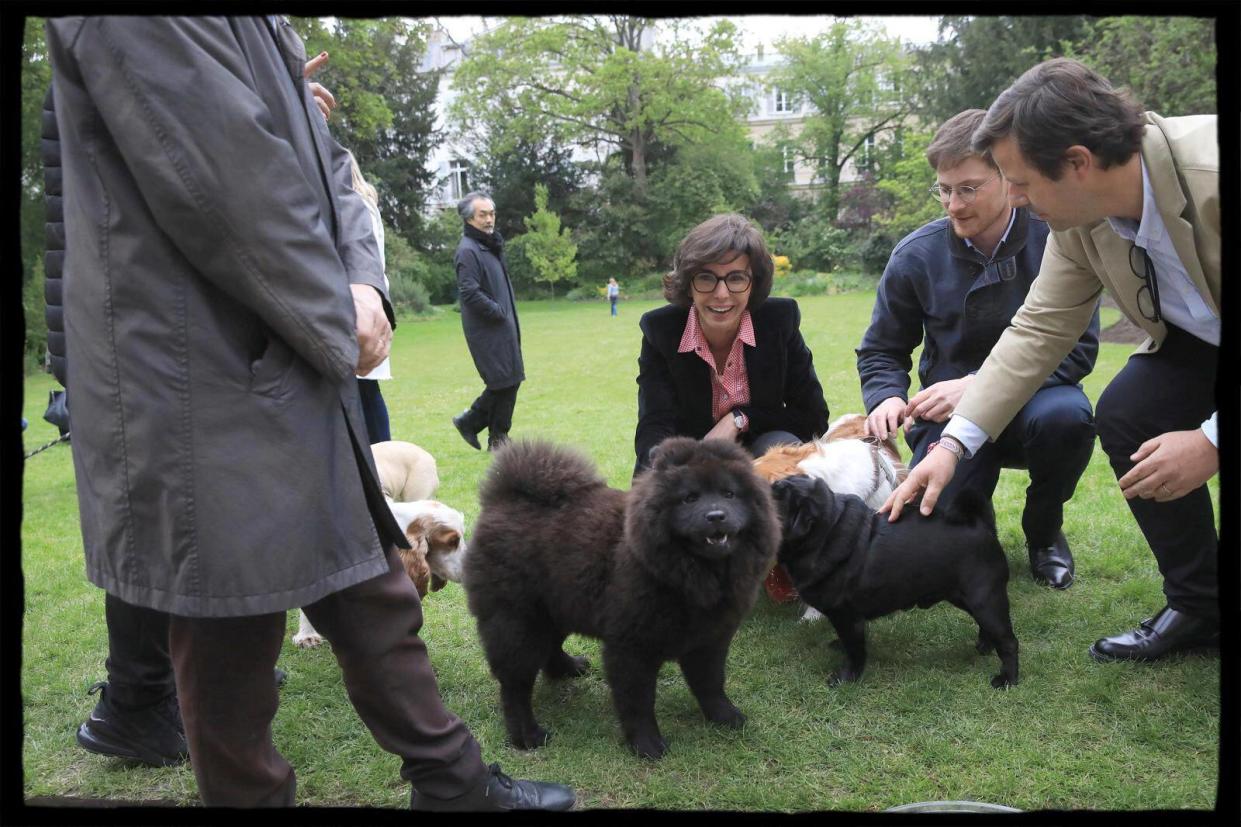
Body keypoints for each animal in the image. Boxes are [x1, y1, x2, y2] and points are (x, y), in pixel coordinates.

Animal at [466, 434, 774, 754]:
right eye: (690, 498)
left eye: (729, 494)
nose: (716, 515)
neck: (695, 574)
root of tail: (502, 499)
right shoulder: (631, 647)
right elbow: (638, 701)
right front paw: (647, 744)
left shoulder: (710, 638)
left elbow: (711, 683)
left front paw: (725, 716)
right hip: (517, 621)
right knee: (515, 686)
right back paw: (527, 736)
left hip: (558, 606)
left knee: (550, 647)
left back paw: (569, 668)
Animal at [774, 474, 1017, 685]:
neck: (825, 534)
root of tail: (983, 527)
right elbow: (849, 643)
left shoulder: (846, 617)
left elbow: (854, 650)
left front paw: (847, 677)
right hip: (968, 599)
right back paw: (984, 647)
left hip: (985, 600)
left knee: (1008, 641)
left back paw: (1008, 679)